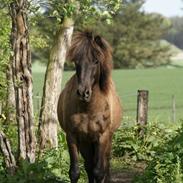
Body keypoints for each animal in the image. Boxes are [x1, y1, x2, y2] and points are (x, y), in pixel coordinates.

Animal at [57, 31, 121, 183]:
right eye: (76, 61)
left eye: (96, 61)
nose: (83, 92)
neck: (88, 109)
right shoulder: (72, 136)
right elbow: (75, 172)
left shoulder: (102, 137)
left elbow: (99, 171)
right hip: (86, 142)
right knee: (89, 165)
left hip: (105, 140)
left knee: (105, 165)